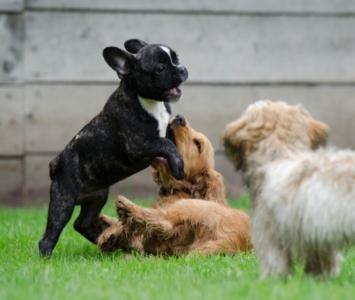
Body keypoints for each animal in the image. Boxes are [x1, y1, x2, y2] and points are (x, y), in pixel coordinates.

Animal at [98, 116, 252, 254]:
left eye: (198, 144)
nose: (179, 118)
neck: (181, 189)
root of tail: (236, 239)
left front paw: (111, 231)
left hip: (189, 207)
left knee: (164, 222)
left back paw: (126, 208)